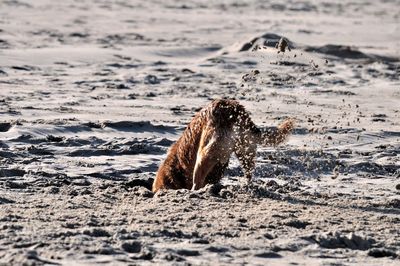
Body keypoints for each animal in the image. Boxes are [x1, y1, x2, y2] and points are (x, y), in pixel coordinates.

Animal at [152, 98, 294, 192]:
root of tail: (231, 109)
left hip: (205, 153)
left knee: (198, 178)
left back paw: (195, 191)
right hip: (245, 150)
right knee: (249, 173)